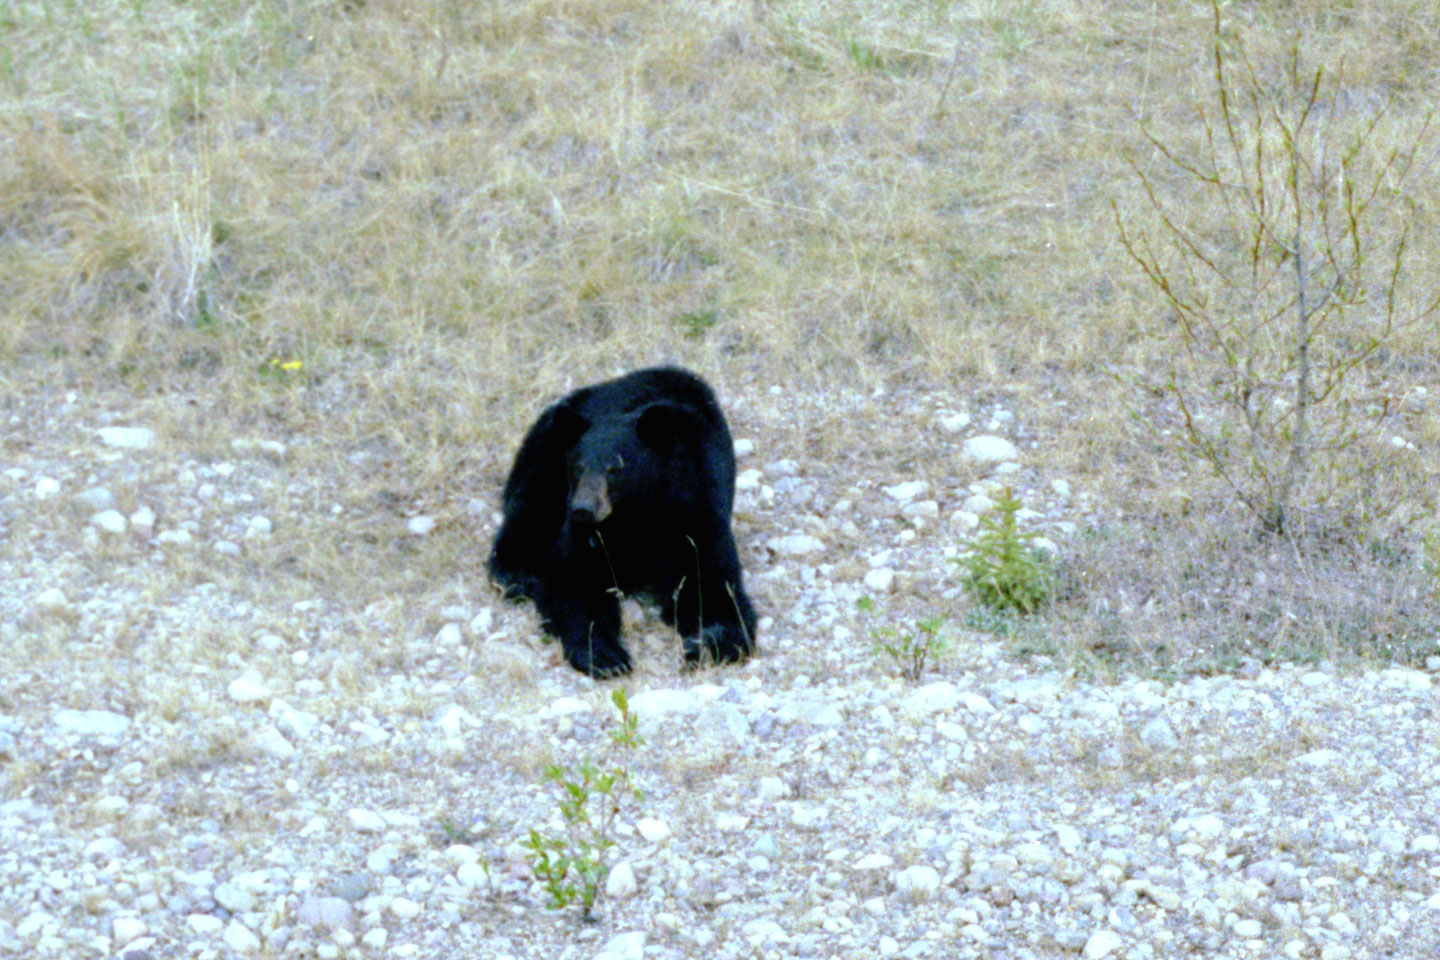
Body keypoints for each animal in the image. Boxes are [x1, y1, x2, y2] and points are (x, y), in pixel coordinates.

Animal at [489, 365, 760, 676]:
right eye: (578, 466)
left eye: (615, 469)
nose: (583, 509)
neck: (634, 517)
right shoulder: (587, 532)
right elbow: (573, 581)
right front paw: (607, 655)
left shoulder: (695, 514)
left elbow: (712, 589)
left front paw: (703, 647)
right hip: (548, 453)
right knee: (531, 505)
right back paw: (517, 575)